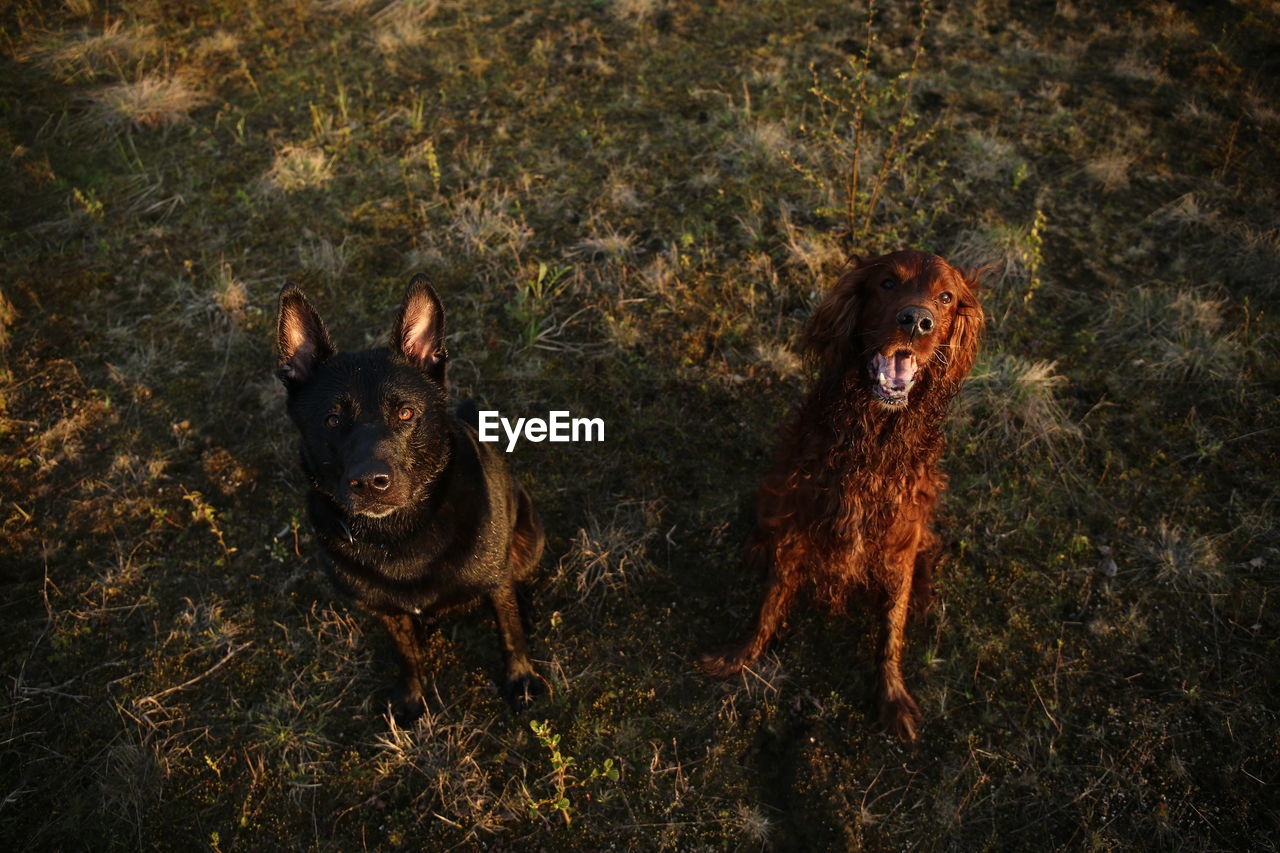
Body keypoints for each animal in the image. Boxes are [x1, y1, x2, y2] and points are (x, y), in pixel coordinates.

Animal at [275, 275, 545, 722]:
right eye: (332, 420)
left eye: (405, 414)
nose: (370, 482)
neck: (401, 536)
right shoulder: (385, 611)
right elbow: (406, 654)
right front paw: (411, 696)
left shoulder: (494, 582)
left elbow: (510, 634)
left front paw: (521, 678)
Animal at [701, 247, 988, 737]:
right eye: (888, 283)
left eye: (947, 297)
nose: (917, 322)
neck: (872, 435)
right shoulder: (798, 513)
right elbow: (771, 597)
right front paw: (742, 654)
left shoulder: (899, 537)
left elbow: (891, 625)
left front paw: (891, 696)